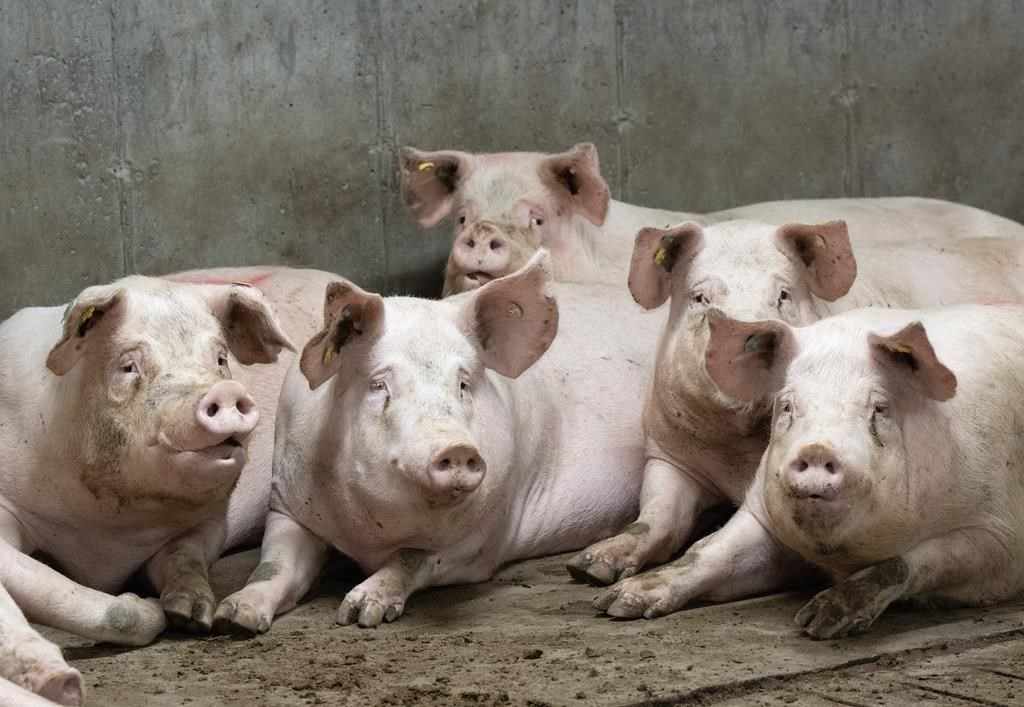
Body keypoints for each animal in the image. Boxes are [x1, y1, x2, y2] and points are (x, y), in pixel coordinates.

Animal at [0, 273, 307, 704]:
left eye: (220, 359)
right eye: (129, 366)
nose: (224, 392)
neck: (110, 533)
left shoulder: (213, 518)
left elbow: (185, 555)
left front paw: (191, 614)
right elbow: (49, 583)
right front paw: (152, 611)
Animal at [212, 252, 664, 633]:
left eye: (463, 383)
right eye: (379, 384)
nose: (456, 448)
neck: (369, 538)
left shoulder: (487, 534)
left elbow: (412, 557)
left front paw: (360, 612)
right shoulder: (287, 505)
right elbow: (274, 566)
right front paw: (233, 619)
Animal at [567, 219, 1024, 589]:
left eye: (783, 294)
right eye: (700, 298)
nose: (750, 331)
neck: (738, 452)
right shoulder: (668, 451)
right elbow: (657, 515)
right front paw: (589, 569)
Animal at [594, 305, 1024, 639]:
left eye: (879, 408)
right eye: (787, 405)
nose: (817, 450)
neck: (840, 556)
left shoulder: (998, 537)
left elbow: (905, 563)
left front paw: (818, 622)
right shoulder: (762, 512)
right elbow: (708, 553)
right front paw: (614, 604)